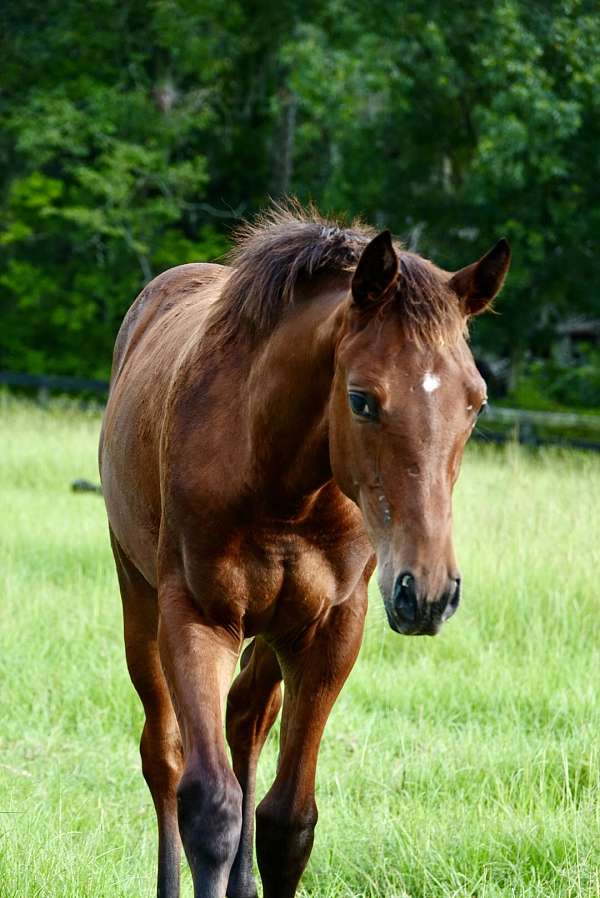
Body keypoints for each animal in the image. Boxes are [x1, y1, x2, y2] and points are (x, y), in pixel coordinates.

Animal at [99, 203, 510, 896]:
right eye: (362, 399)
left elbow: (289, 822)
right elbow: (210, 807)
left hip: (272, 630)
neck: (281, 484)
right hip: (140, 597)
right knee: (165, 754)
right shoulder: (197, 617)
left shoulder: (329, 631)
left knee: (247, 721)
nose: (426, 592)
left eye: (476, 404)